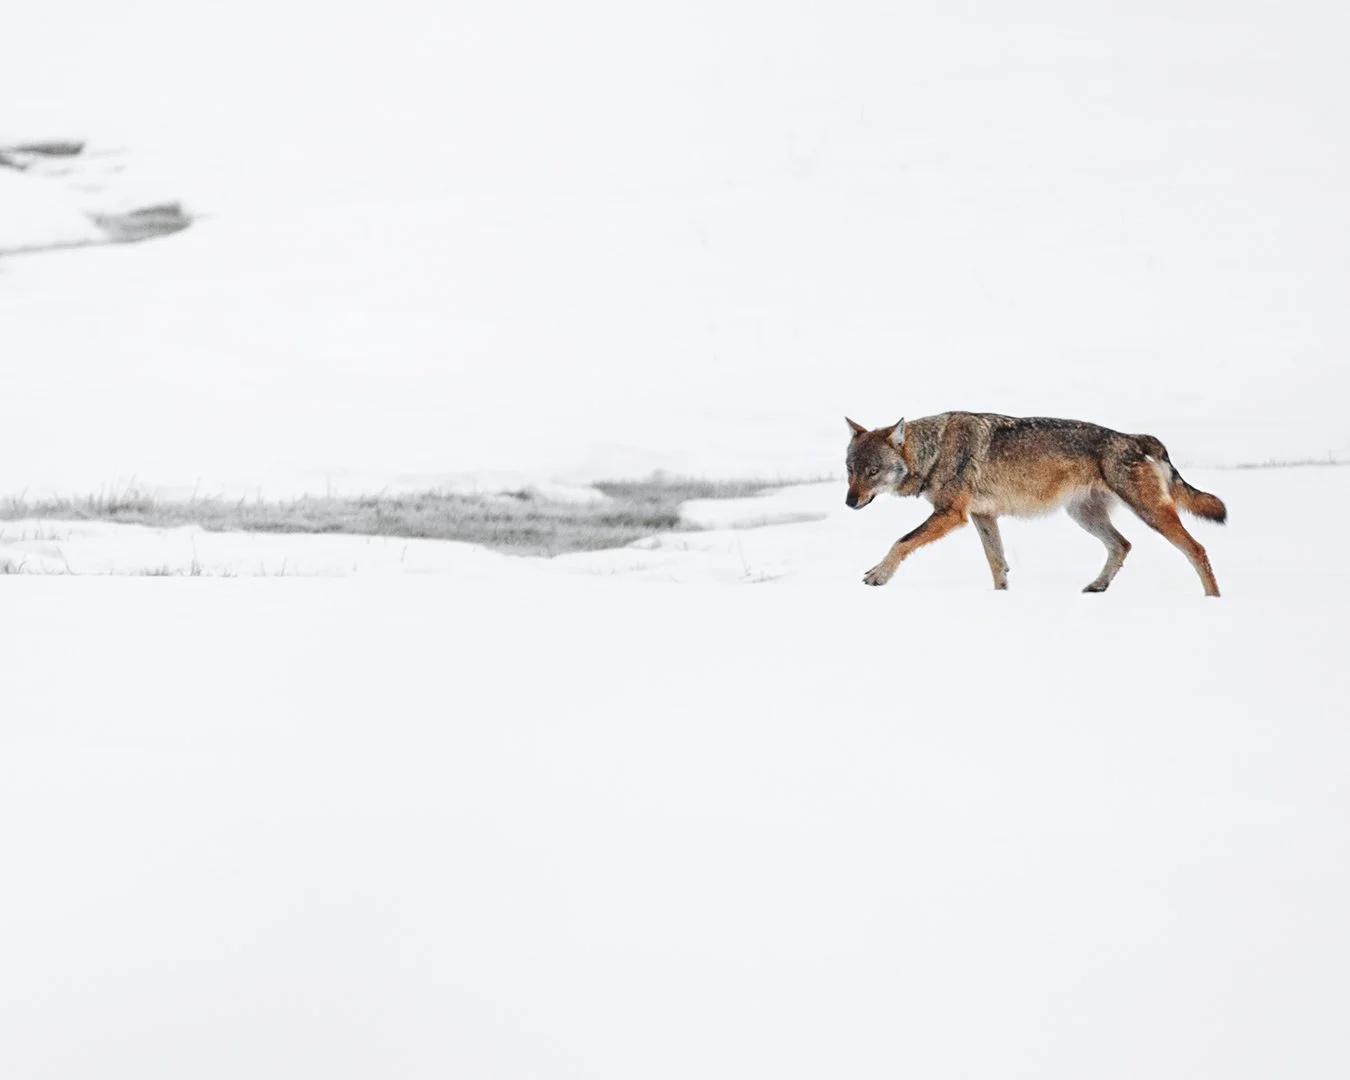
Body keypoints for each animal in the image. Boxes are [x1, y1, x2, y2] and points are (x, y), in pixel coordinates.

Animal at [844, 412, 1227, 596]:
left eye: (873, 471)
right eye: (850, 469)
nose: (849, 502)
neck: (934, 451)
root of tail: (1133, 438)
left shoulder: (951, 515)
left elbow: (901, 542)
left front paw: (878, 576)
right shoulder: (983, 516)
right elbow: (998, 565)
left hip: (1149, 514)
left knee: (1197, 549)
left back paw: (1213, 601)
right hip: (1084, 516)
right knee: (1123, 545)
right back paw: (1097, 586)